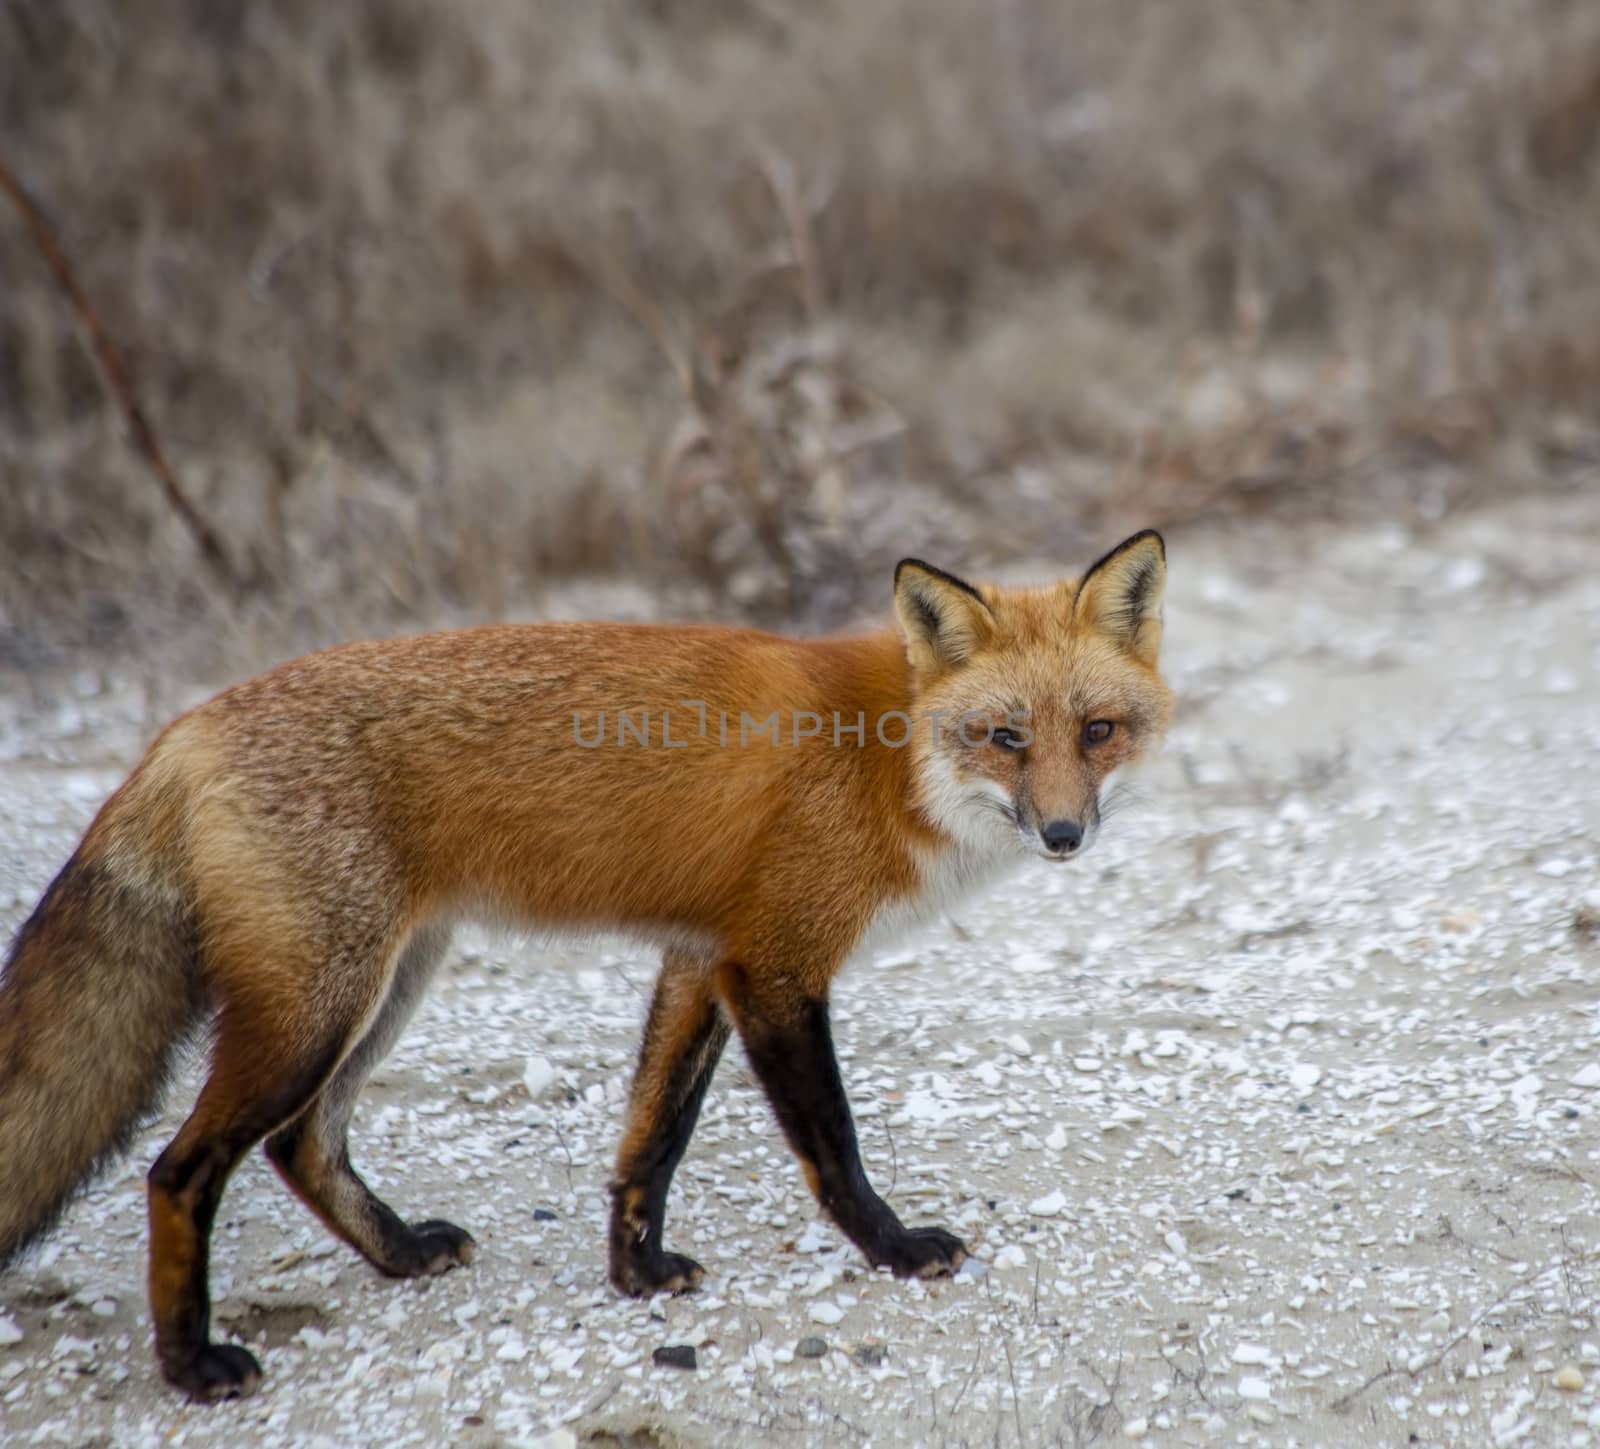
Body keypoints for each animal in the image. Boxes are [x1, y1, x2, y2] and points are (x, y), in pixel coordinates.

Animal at [3, 527, 1177, 1388]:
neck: (884, 758)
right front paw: (892, 1250)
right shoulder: (776, 967)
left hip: (384, 986)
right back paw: (191, 1363)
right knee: (180, 1167)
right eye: (1005, 738)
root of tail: (181, 729)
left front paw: (635, 1270)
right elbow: (831, 1148)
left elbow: (652, 1137)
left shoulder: (703, 958)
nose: (1065, 835)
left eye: (1099, 730)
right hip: (315, 1008)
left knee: (303, 1144)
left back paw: (399, 1254)